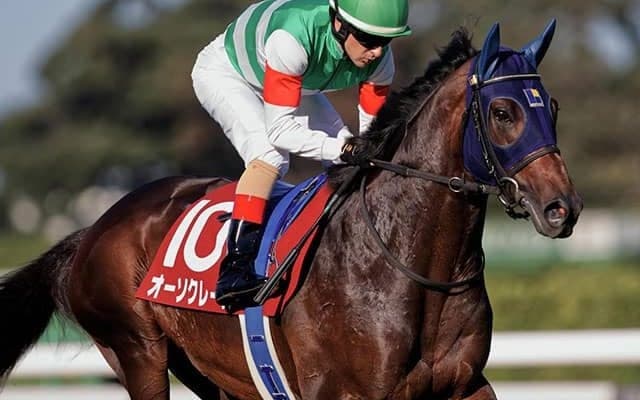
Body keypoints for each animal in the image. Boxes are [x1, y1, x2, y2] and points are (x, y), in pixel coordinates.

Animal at [0, 22, 582, 399]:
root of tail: (93, 231)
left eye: (551, 107)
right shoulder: (341, 392)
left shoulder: (465, 385)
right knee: (267, 152)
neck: (411, 265)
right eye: (502, 111)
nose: (563, 208)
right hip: (137, 351)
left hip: (210, 372)